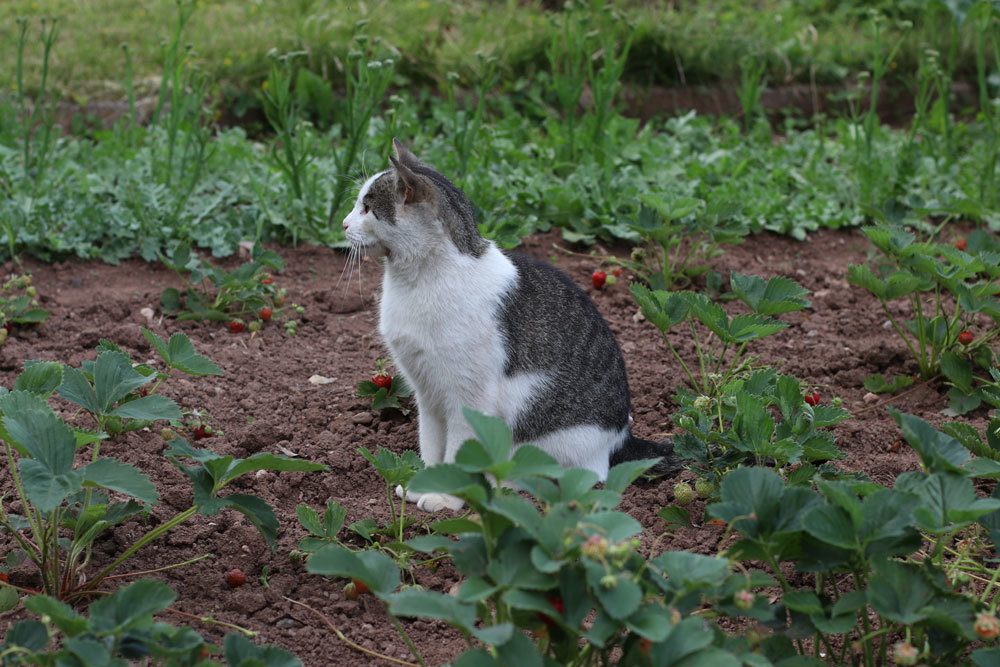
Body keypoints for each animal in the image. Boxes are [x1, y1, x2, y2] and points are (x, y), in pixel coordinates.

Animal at [342, 141, 680, 516]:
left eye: (367, 207)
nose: (343, 224)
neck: (418, 280)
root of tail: (621, 438)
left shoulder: (468, 396)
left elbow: (459, 451)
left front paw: (449, 498)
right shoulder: (426, 392)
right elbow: (432, 446)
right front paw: (426, 485)